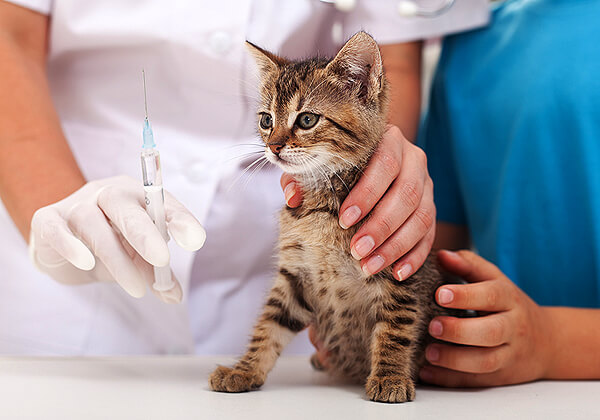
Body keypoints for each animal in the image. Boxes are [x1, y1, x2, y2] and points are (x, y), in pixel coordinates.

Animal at [211, 31, 460, 402]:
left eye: (307, 119)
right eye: (266, 120)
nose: (273, 146)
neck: (321, 204)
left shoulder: (397, 267)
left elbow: (394, 328)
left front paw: (389, 377)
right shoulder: (295, 275)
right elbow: (269, 325)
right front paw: (245, 369)